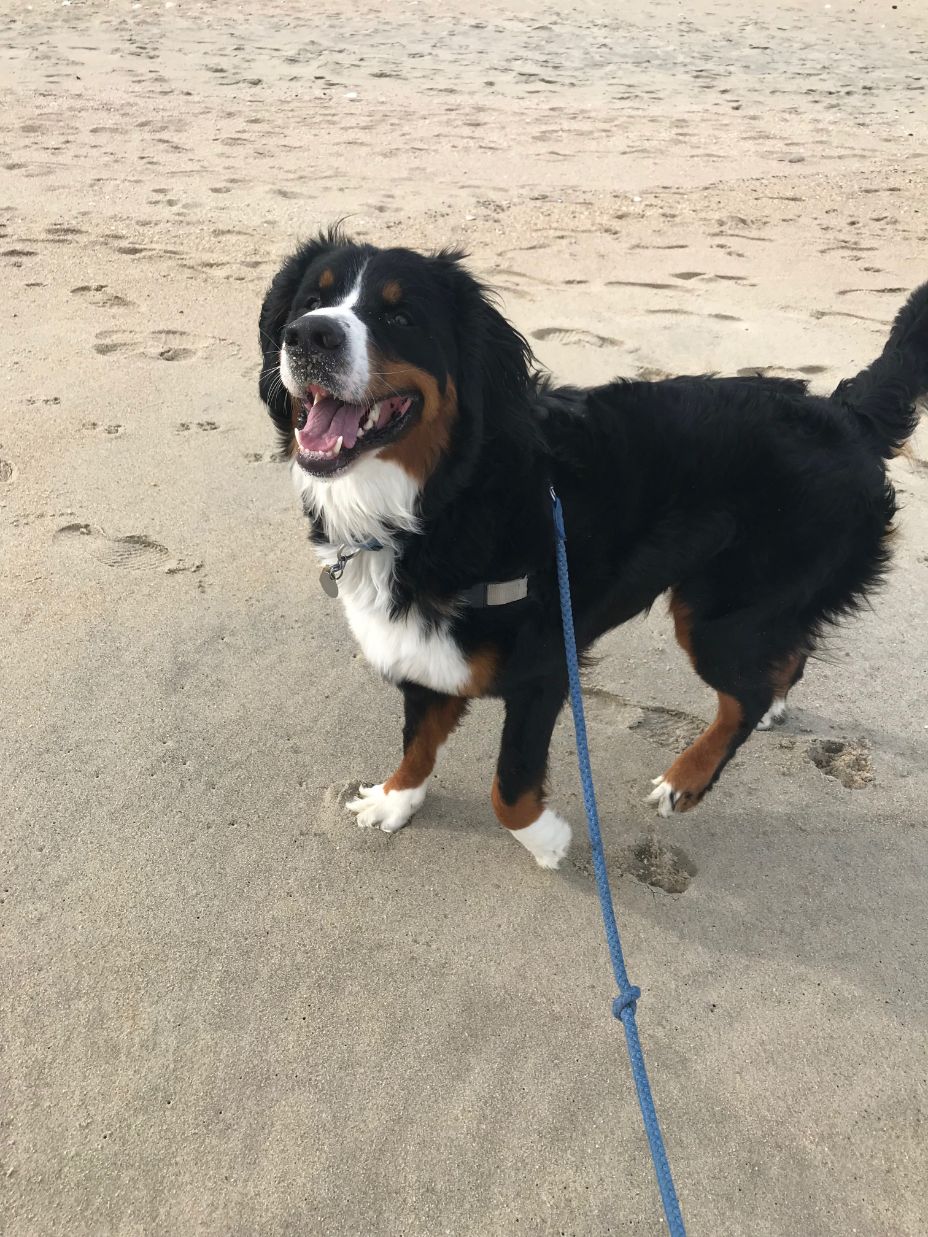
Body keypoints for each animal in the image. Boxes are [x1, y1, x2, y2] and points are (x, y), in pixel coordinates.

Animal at [259, 230, 928, 870]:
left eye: (400, 316)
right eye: (311, 301)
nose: (309, 335)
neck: (442, 499)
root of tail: (845, 414)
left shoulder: (542, 669)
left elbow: (508, 789)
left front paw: (548, 842)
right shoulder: (423, 648)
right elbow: (417, 741)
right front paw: (395, 799)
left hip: (720, 613)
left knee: (747, 689)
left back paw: (687, 778)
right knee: (785, 658)